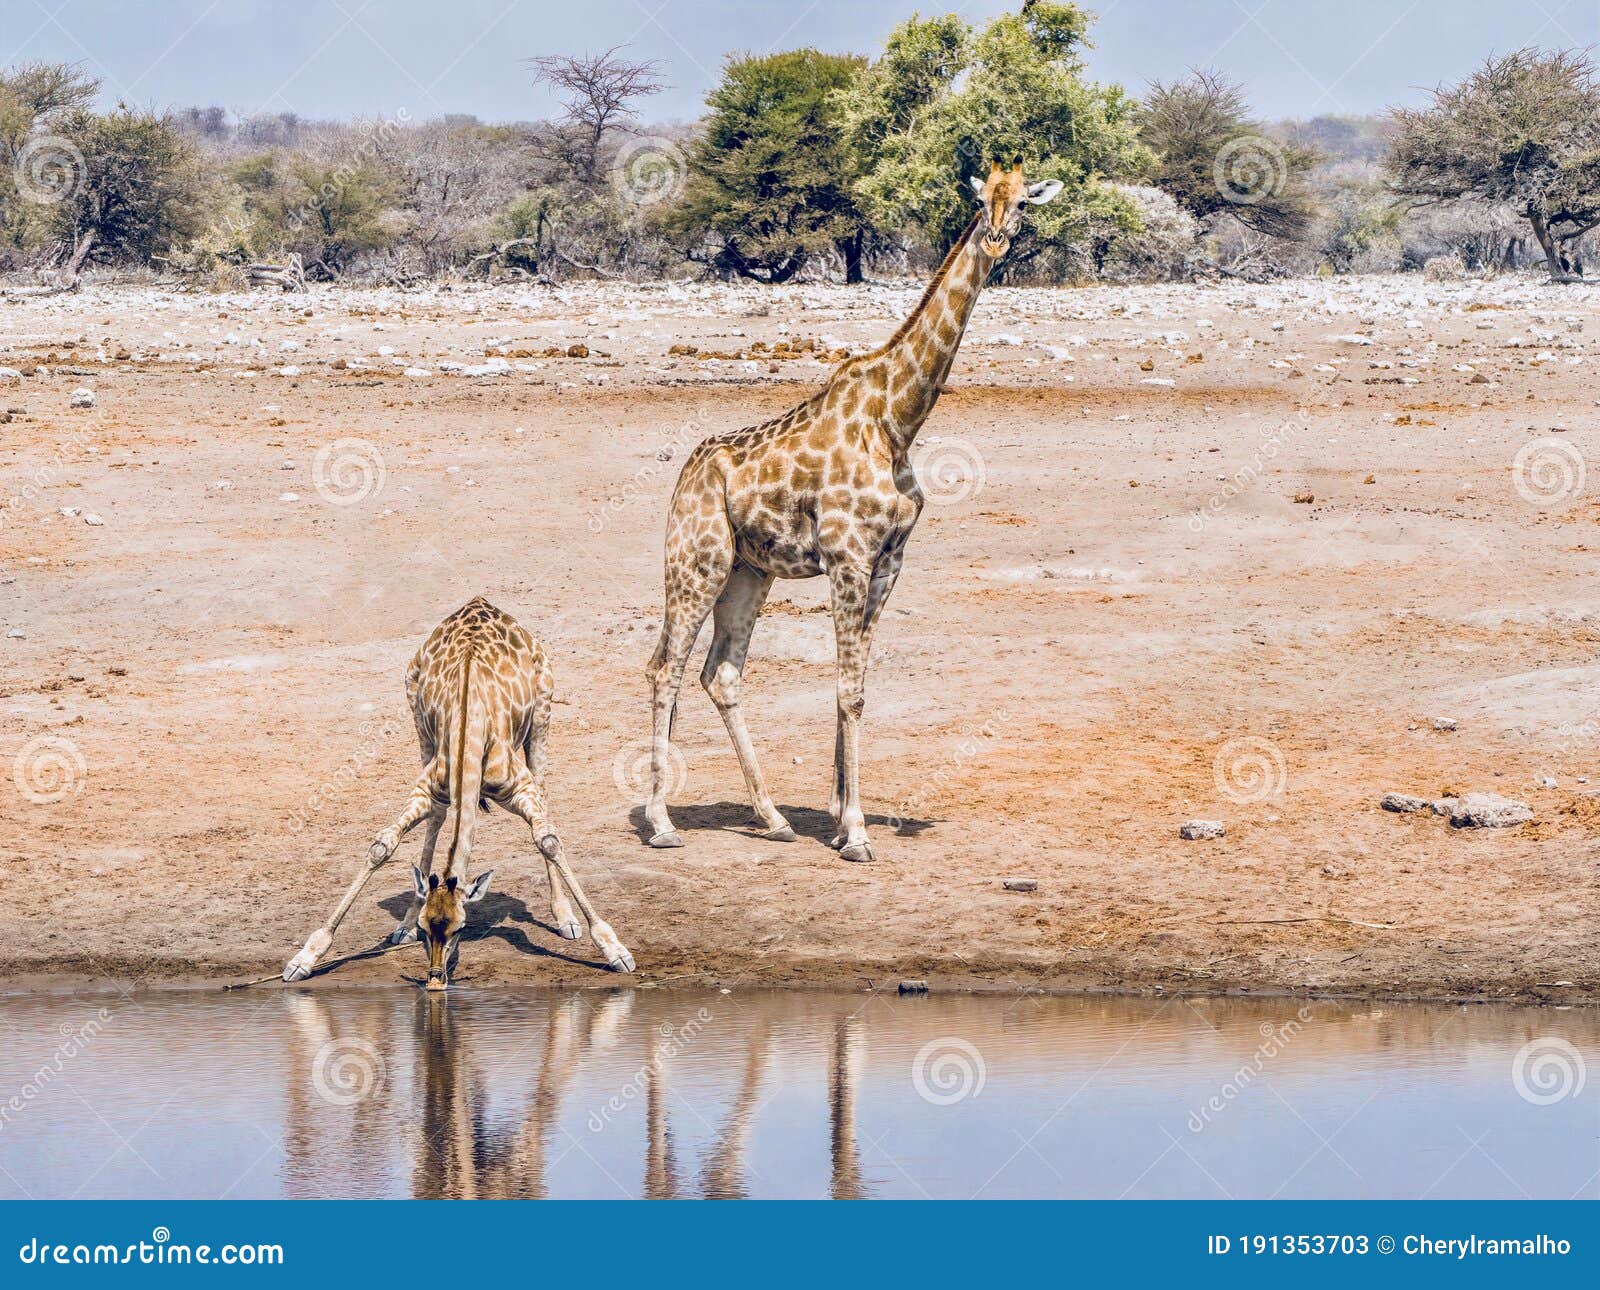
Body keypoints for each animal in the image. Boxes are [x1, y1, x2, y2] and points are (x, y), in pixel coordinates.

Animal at [284, 598, 633, 992]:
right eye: (427, 928)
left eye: (460, 928)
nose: (436, 981)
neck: (470, 735)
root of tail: (481, 602)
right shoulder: (428, 788)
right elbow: (382, 846)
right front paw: (306, 957)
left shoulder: (521, 786)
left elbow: (548, 839)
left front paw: (615, 950)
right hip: (418, 719)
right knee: (437, 819)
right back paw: (401, 924)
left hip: (543, 712)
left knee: (545, 796)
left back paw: (565, 918)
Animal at [643, 164, 1056, 870]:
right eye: (980, 199)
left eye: (1024, 202)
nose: (998, 239)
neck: (898, 420)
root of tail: (686, 476)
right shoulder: (847, 556)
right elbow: (848, 689)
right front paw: (857, 832)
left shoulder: (888, 562)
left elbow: (856, 684)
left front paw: (837, 819)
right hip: (696, 562)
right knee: (664, 669)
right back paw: (661, 821)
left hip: (749, 574)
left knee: (719, 674)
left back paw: (773, 818)